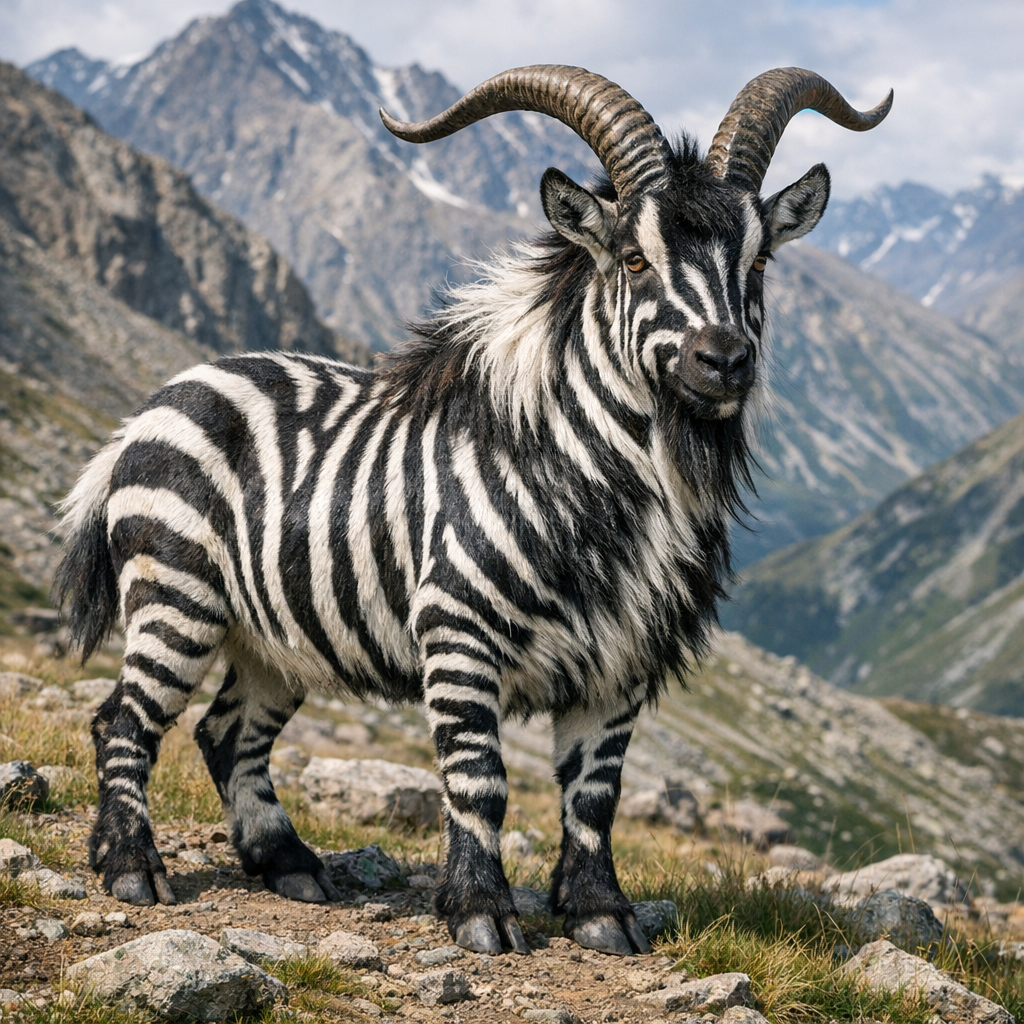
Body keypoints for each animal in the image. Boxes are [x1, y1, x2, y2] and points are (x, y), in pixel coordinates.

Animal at [54, 65, 890, 956]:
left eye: (759, 261)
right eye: (634, 259)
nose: (725, 362)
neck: (586, 486)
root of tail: (155, 404)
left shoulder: (622, 657)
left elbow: (594, 795)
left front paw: (599, 914)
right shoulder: (457, 632)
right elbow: (479, 779)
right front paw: (481, 912)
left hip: (277, 640)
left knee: (227, 734)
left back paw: (288, 866)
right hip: (176, 599)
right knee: (123, 721)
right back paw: (131, 869)